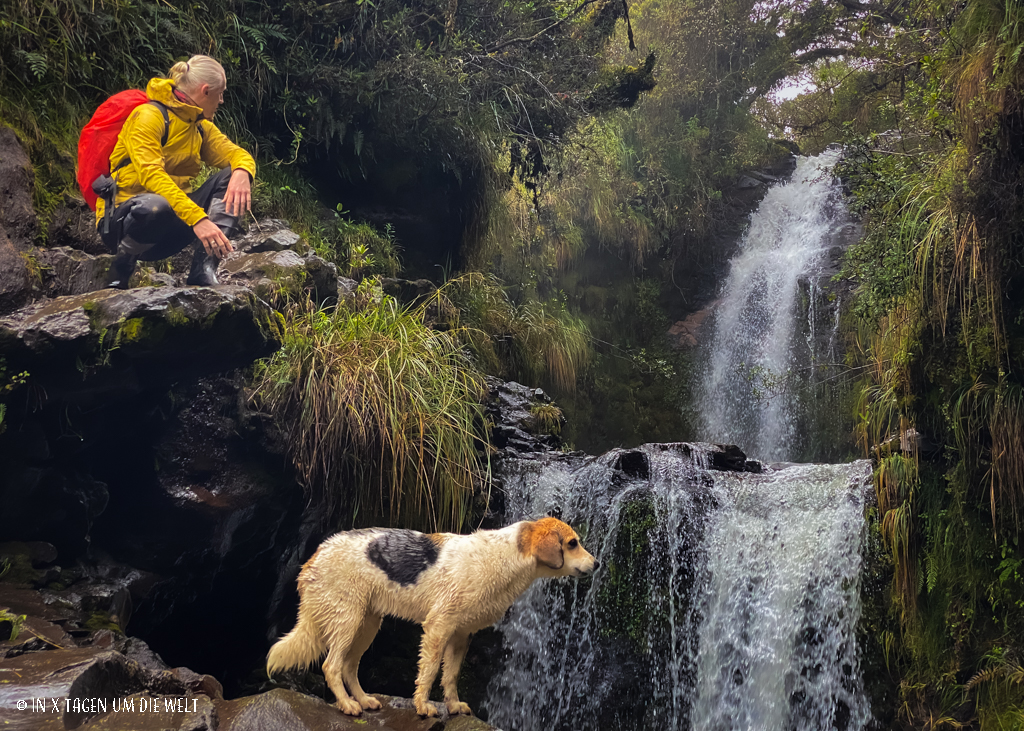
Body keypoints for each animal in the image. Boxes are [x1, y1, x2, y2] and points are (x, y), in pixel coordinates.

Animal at [268, 516, 598, 716]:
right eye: (572, 543)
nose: (597, 565)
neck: (505, 557)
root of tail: (315, 555)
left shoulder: (461, 635)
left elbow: (449, 676)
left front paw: (452, 706)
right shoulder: (438, 627)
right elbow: (428, 672)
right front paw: (423, 707)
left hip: (367, 625)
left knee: (349, 667)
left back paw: (363, 700)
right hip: (347, 621)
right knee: (331, 665)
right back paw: (348, 705)